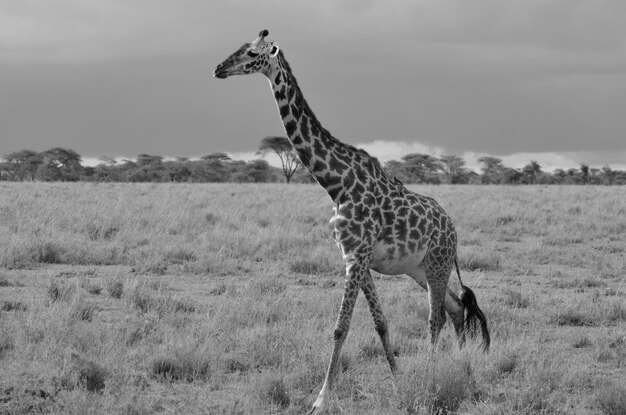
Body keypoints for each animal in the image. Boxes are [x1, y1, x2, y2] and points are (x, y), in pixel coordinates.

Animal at [213, 30, 488, 415]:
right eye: (239, 48)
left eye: (252, 53)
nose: (219, 68)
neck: (336, 183)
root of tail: (453, 228)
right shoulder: (355, 258)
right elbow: (380, 323)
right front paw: (399, 384)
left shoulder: (356, 257)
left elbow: (340, 327)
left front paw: (320, 400)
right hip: (418, 269)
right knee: (456, 308)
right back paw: (464, 374)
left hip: (437, 263)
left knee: (436, 318)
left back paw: (432, 379)